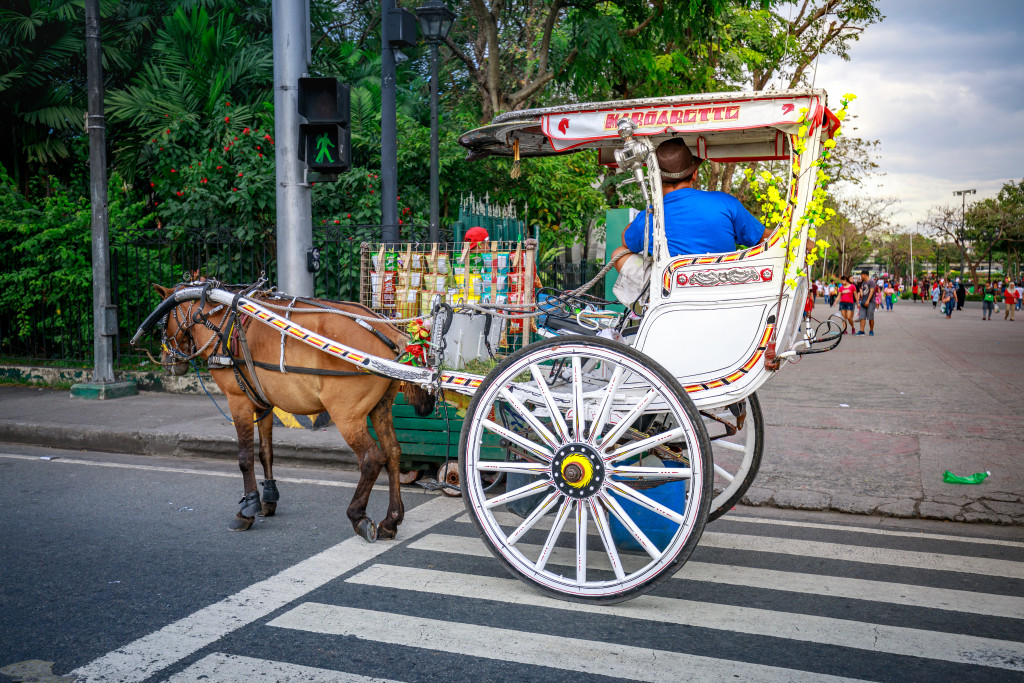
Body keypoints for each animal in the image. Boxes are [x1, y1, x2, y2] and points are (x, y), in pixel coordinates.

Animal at [151, 280, 436, 540]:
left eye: (163, 321)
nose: (166, 362)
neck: (223, 321)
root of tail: (383, 326)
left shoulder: (238, 401)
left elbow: (245, 457)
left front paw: (246, 509)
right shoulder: (263, 404)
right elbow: (265, 453)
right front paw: (268, 499)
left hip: (347, 416)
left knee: (372, 458)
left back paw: (358, 516)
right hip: (380, 407)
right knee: (393, 453)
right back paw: (391, 519)